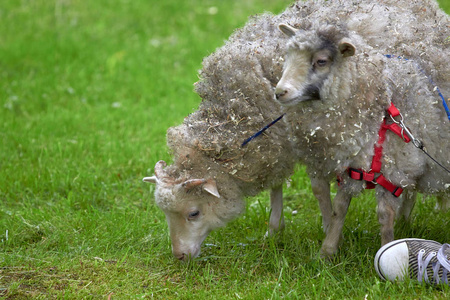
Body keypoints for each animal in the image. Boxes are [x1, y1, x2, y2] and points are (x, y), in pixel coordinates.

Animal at [274, 0, 450, 256]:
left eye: (321, 61)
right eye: (287, 56)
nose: (280, 92)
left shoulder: (395, 168)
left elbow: (385, 215)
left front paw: (387, 248)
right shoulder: (352, 165)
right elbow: (339, 208)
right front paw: (327, 251)